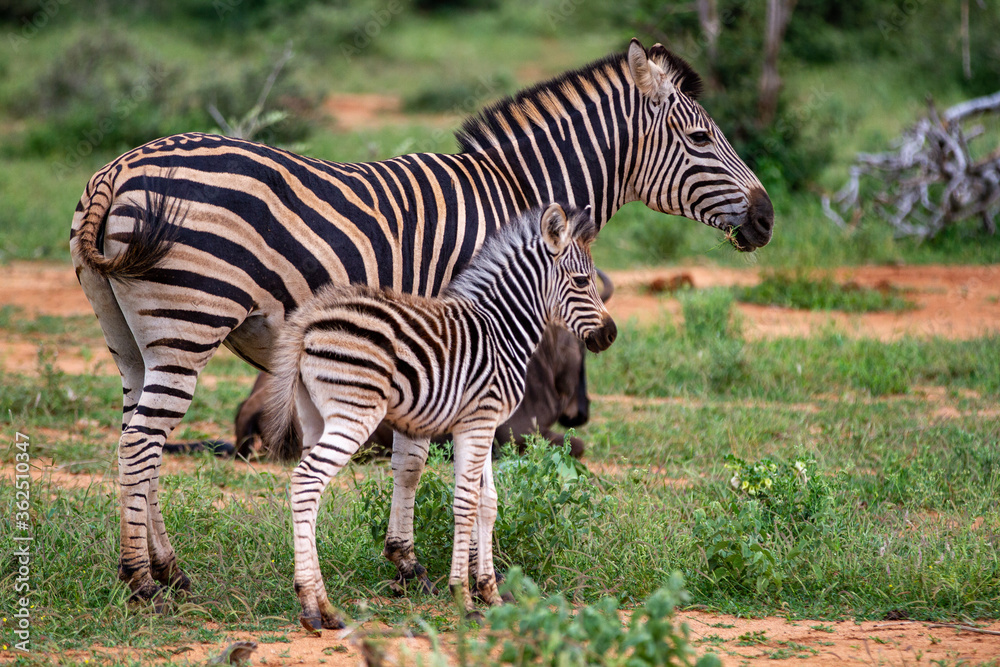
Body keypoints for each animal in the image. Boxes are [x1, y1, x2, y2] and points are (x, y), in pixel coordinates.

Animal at [264, 203, 615, 630]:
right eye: (581, 281)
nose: (610, 335)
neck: (501, 329)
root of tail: (309, 320)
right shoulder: (479, 421)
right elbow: (465, 502)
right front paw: (463, 597)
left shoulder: (483, 424)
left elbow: (487, 502)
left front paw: (489, 592)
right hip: (354, 413)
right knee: (306, 481)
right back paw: (314, 606)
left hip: (314, 416)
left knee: (309, 495)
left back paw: (321, 607)